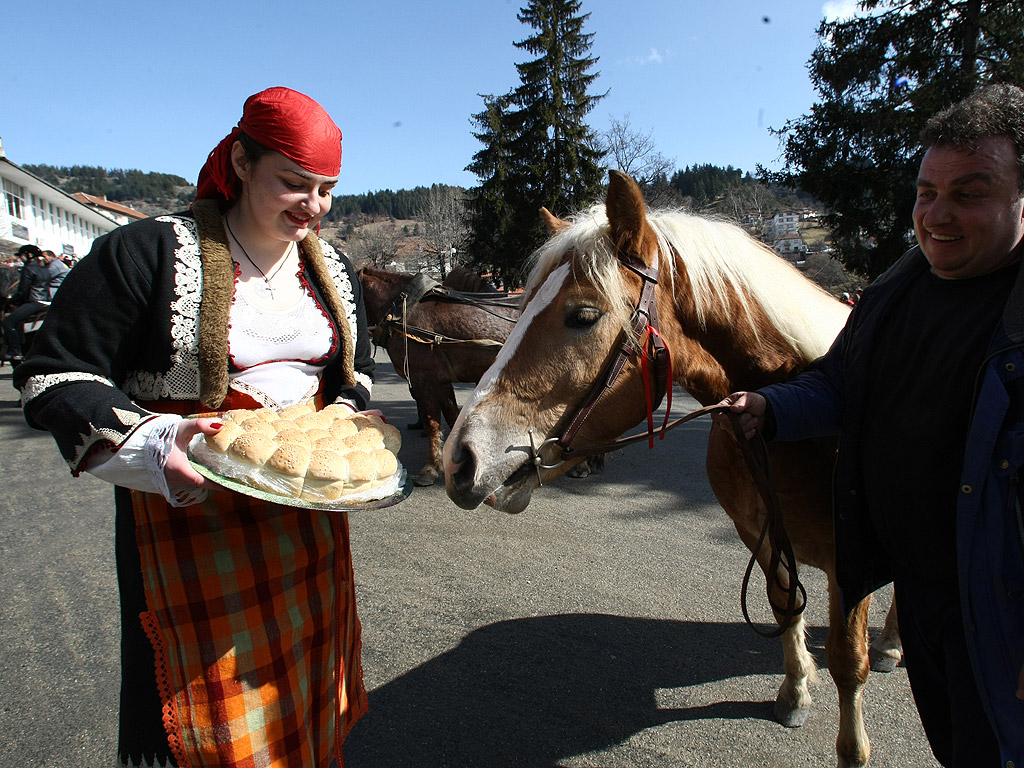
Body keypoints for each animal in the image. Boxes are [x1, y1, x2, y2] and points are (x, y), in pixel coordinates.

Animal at [358, 268, 520, 487]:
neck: (405, 311)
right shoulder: (441, 380)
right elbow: (452, 416)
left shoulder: (423, 378)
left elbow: (431, 422)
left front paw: (431, 468)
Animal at [444, 173, 901, 768]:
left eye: (584, 315)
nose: (459, 459)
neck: (797, 410)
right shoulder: (760, 534)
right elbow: (784, 609)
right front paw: (796, 690)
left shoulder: (851, 564)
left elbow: (849, 663)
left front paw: (852, 741)